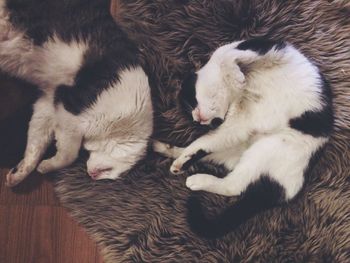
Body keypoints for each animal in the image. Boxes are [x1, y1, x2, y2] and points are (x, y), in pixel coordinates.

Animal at [0, 0, 153, 188]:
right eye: (109, 171)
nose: (92, 176)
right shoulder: (69, 112)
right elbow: (69, 155)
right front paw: (47, 166)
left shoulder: (49, 104)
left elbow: (36, 144)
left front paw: (20, 173)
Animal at [154, 37, 334, 239]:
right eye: (190, 110)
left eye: (191, 101)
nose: (198, 120)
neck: (236, 97)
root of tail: (291, 190)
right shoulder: (236, 127)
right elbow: (202, 142)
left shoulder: (262, 49)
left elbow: (228, 57)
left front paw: (237, 76)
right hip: (240, 150)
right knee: (207, 158)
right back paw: (168, 153)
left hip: (266, 149)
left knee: (233, 186)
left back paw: (195, 178)